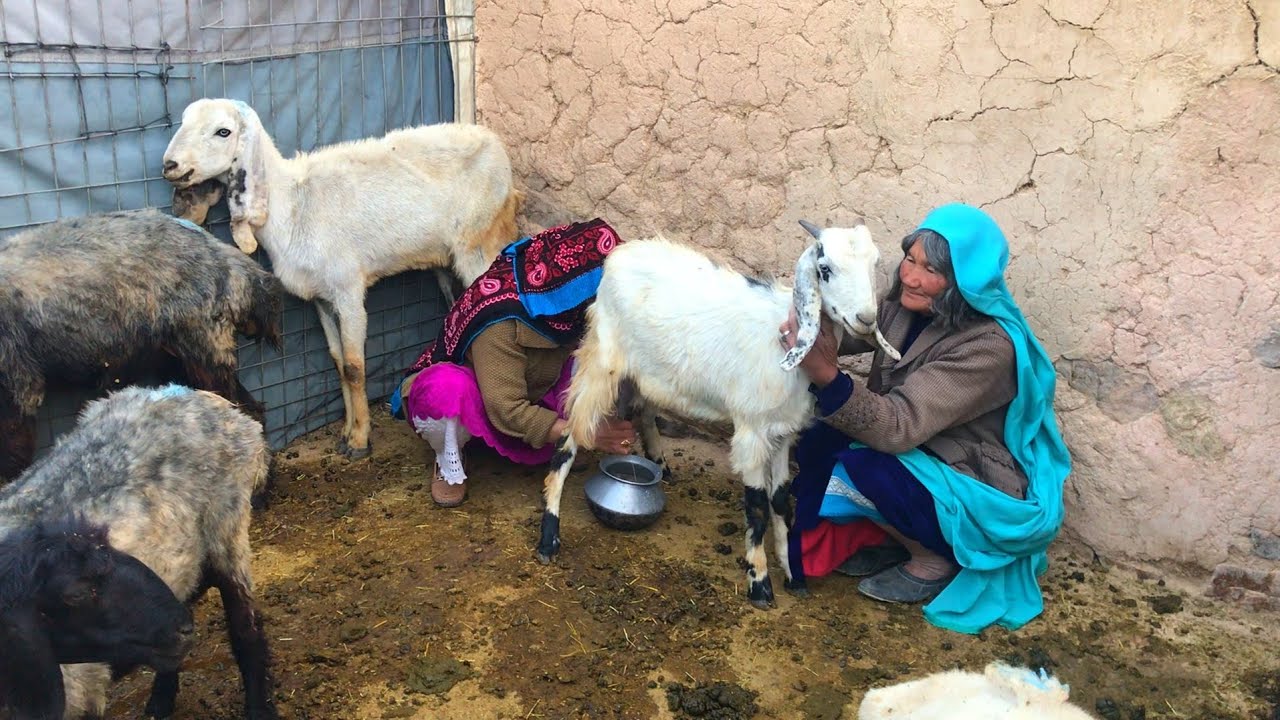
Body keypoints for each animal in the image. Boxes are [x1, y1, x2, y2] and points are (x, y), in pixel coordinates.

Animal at [0, 208, 282, 481]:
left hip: (204, 347)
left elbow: (13, 454)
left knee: (240, 412)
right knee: (251, 409)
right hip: (178, 358)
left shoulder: (18, 386)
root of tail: (234, 263)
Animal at [161, 98, 522, 459]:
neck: (293, 205)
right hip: (446, 261)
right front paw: (347, 433)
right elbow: (337, 363)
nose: (169, 165)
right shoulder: (321, 298)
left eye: (223, 131)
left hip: (481, 243)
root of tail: (492, 140)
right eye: (184, 121)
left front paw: (360, 440)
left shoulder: (348, 290)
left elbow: (353, 367)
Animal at [538, 220, 900, 609]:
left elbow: (780, 500)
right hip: (602, 361)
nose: (866, 319)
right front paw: (760, 584)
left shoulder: (783, 432)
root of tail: (620, 253)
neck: (784, 342)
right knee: (570, 435)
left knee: (643, 412)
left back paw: (660, 464)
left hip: (651, 372)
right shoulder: (752, 431)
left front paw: (793, 574)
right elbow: (757, 506)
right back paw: (549, 535)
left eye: (874, 264)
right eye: (825, 269)